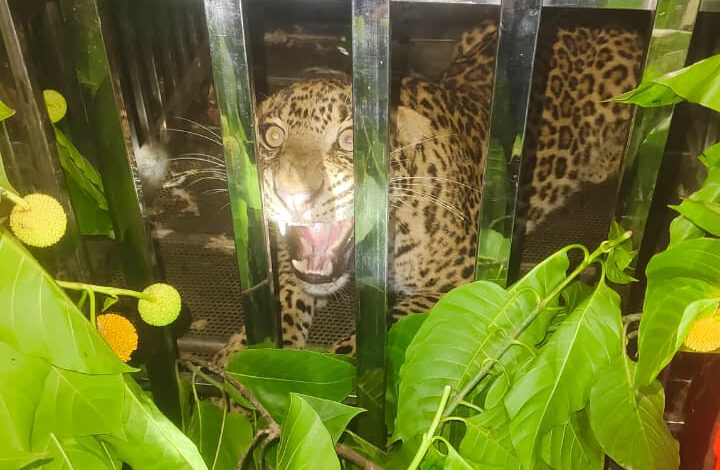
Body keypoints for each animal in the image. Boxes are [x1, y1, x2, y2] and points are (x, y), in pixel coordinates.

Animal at [210, 20, 644, 367]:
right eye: (272, 135)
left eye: (350, 140)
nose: (290, 195)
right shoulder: (290, 261)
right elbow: (282, 296)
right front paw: (240, 358)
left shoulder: (463, 283)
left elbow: (383, 333)